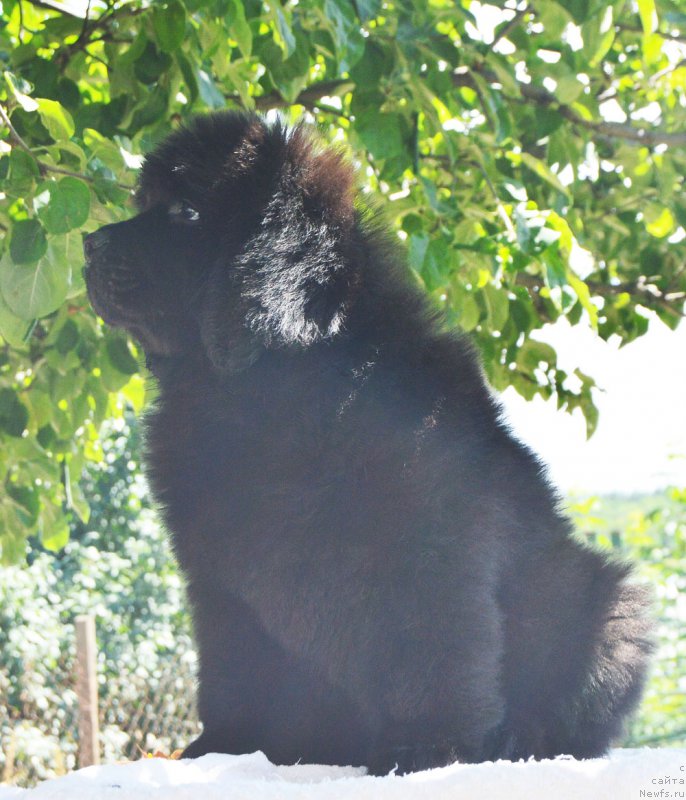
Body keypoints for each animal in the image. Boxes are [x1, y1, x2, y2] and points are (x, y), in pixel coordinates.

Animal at [83, 112, 652, 776]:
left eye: (187, 212)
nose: (89, 244)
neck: (266, 387)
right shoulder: (219, 577)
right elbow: (234, 667)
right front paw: (221, 746)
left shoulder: (428, 545)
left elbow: (432, 649)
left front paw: (429, 749)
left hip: (609, 607)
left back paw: (518, 740)